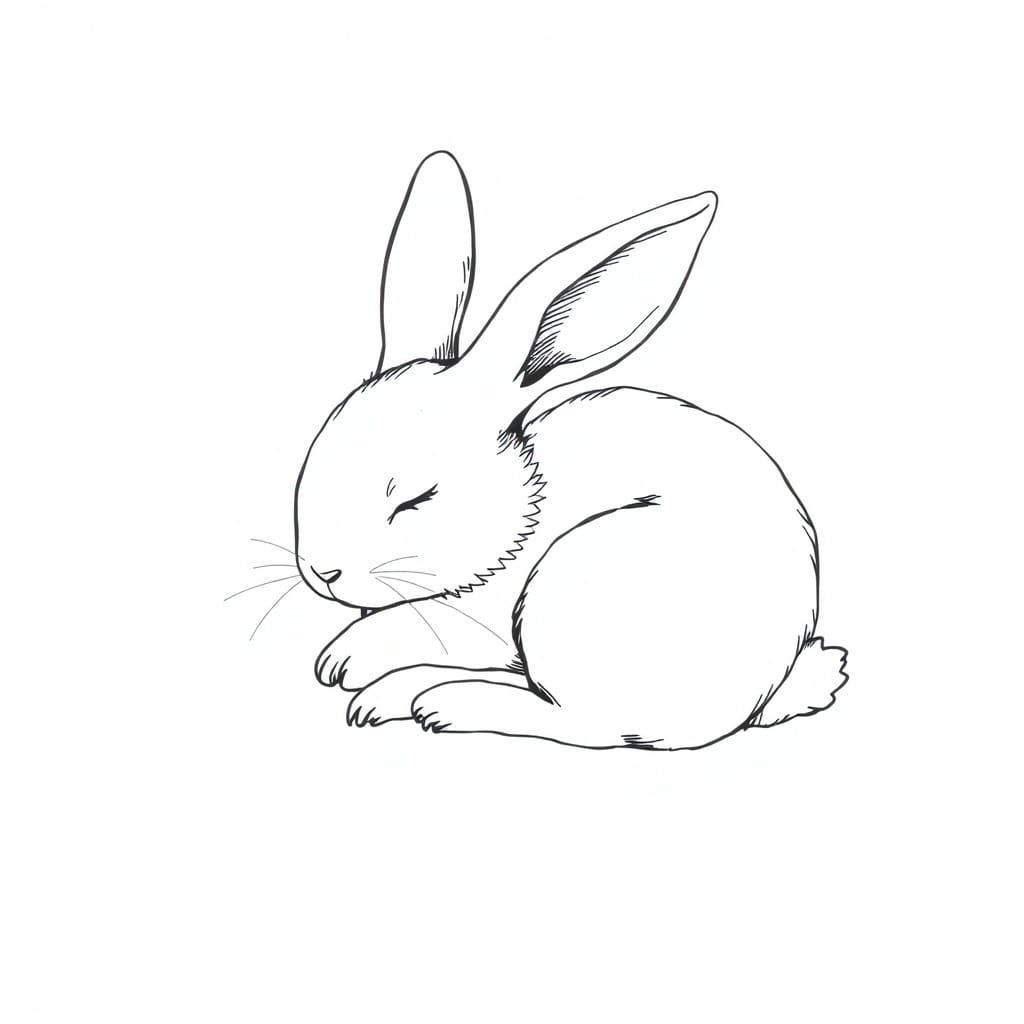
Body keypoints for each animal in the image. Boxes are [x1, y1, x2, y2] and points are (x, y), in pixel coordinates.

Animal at [293, 151, 848, 750]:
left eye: (416, 498)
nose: (321, 572)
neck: (521, 519)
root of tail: (758, 696)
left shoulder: (479, 617)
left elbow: (416, 624)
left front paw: (342, 659)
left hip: (571, 596)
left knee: (583, 721)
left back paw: (436, 703)